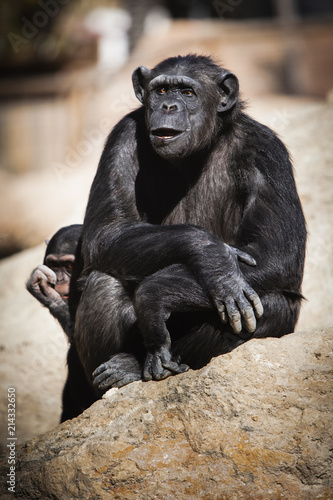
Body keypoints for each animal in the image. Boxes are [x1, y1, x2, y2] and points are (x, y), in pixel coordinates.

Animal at [71, 53, 304, 390]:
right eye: (161, 91)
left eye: (188, 92)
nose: (169, 106)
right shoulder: (122, 136)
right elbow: (106, 231)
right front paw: (213, 259)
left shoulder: (267, 152)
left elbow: (275, 254)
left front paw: (158, 293)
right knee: (104, 280)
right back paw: (122, 370)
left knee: (272, 305)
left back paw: (140, 364)